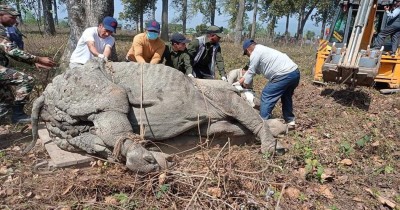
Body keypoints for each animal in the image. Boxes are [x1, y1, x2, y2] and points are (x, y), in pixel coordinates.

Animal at [25, 58, 286, 172]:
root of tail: (46, 94)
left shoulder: (210, 118)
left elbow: (226, 128)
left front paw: (278, 128)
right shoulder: (223, 96)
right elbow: (245, 114)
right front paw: (271, 146)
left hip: (63, 119)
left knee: (88, 137)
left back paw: (153, 159)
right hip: (84, 84)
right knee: (112, 102)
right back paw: (149, 160)